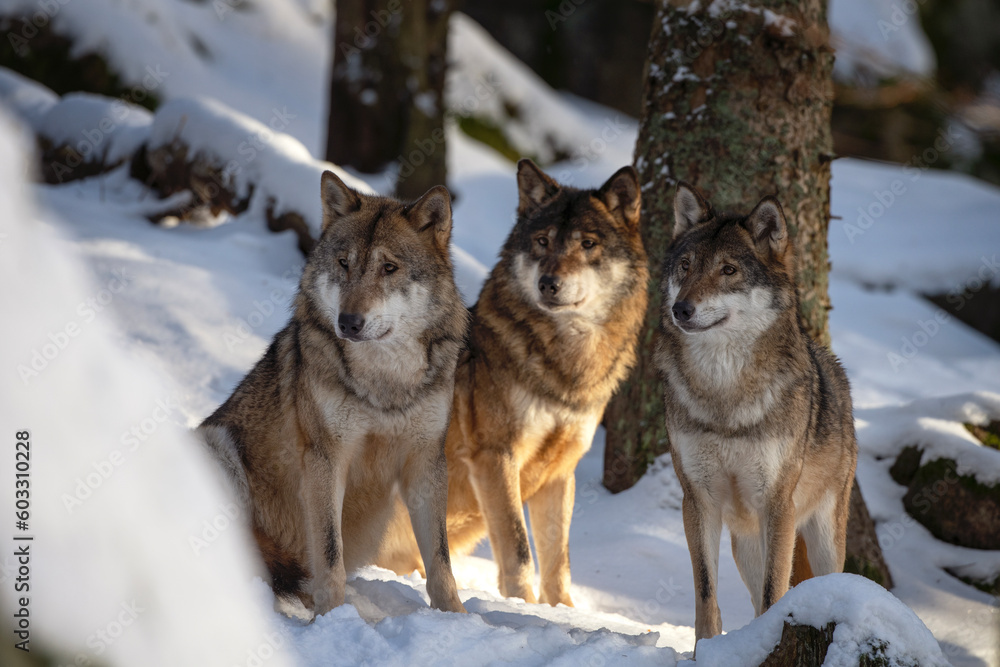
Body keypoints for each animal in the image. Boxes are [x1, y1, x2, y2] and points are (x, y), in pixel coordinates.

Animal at [199, 171, 468, 620]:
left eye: (389, 268)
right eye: (344, 263)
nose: (349, 322)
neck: (384, 383)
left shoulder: (426, 461)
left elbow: (440, 562)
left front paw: (457, 618)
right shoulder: (326, 458)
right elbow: (329, 555)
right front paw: (333, 619)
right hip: (214, 442)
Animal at [377, 159, 648, 606]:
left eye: (588, 244)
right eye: (542, 241)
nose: (549, 283)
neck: (563, 370)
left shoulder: (560, 472)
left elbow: (558, 560)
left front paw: (561, 610)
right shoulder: (495, 455)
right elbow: (520, 548)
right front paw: (523, 606)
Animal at [656, 183, 858, 643]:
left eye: (728, 270)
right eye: (686, 266)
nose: (681, 309)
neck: (725, 395)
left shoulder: (778, 503)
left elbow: (773, 592)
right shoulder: (698, 500)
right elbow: (706, 592)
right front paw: (705, 650)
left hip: (822, 535)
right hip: (745, 542)